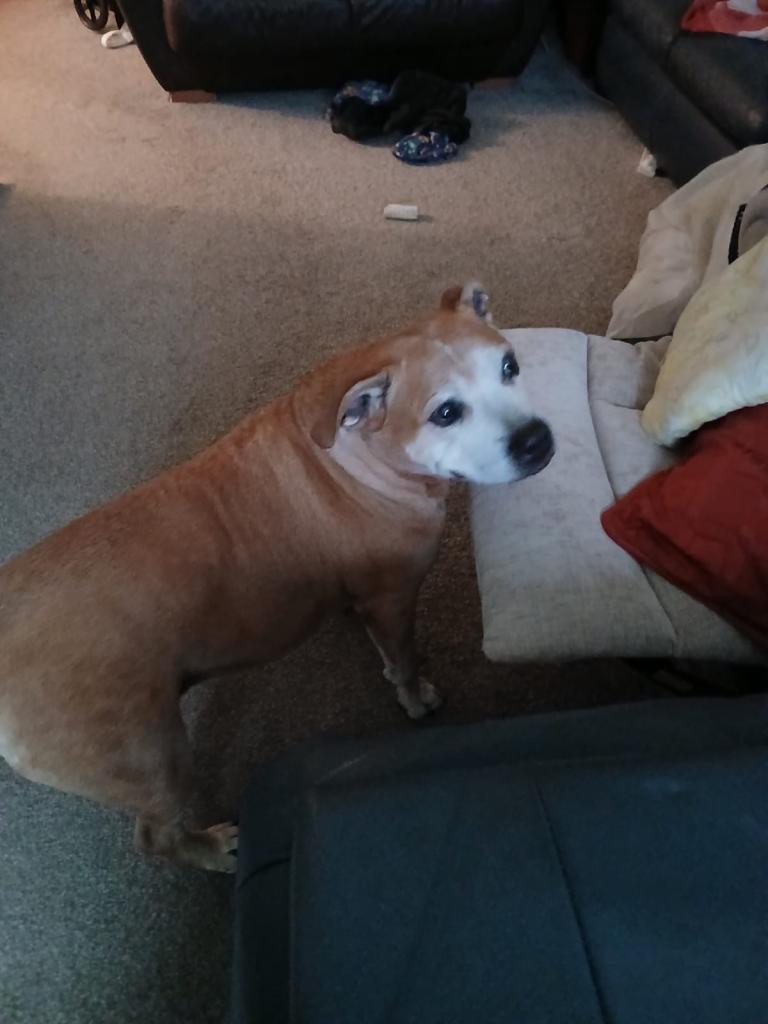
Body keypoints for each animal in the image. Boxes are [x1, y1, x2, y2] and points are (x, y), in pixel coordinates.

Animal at [0, 283, 554, 872]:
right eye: (446, 412)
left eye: (510, 366)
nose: (538, 440)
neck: (356, 449)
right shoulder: (394, 596)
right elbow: (404, 659)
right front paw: (416, 698)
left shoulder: (368, 597)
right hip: (153, 759)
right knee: (156, 836)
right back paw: (215, 850)